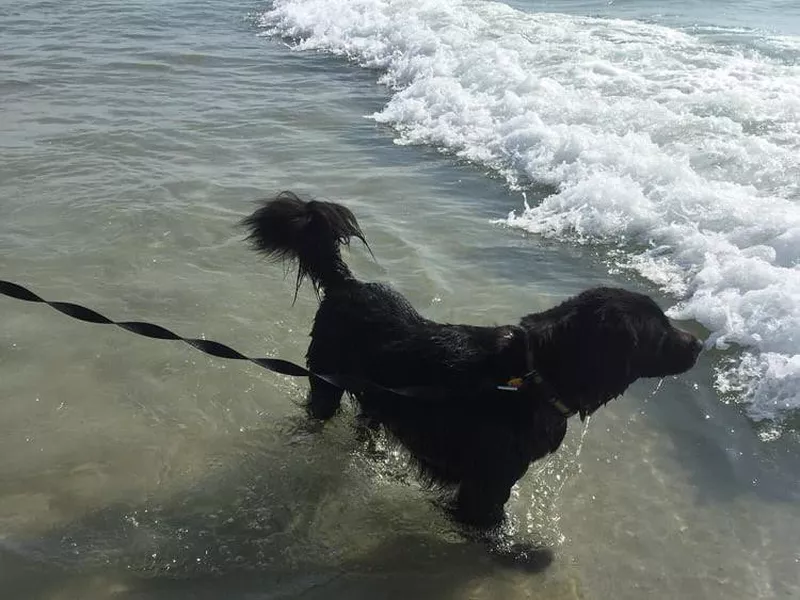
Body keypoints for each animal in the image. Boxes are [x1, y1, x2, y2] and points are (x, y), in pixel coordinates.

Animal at [244, 193, 700, 528]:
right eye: (661, 331)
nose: (698, 344)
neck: (531, 376)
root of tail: (346, 284)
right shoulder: (488, 481)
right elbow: (490, 524)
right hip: (326, 381)